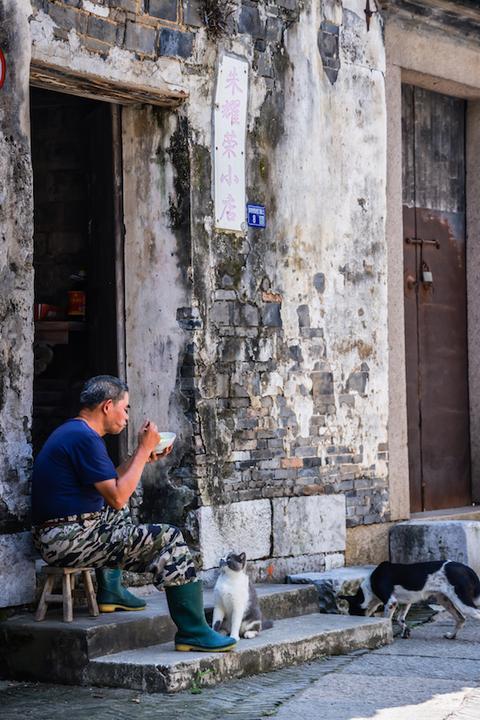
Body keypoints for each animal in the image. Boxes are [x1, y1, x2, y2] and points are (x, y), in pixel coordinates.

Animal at [340, 560, 480, 640]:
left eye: (351, 612)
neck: (370, 587)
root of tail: (468, 569)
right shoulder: (406, 602)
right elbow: (400, 619)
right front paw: (405, 632)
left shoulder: (391, 602)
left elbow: (388, 619)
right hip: (445, 600)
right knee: (461, 619)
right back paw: (451, 636)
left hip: (461, 602)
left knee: (472, 615)